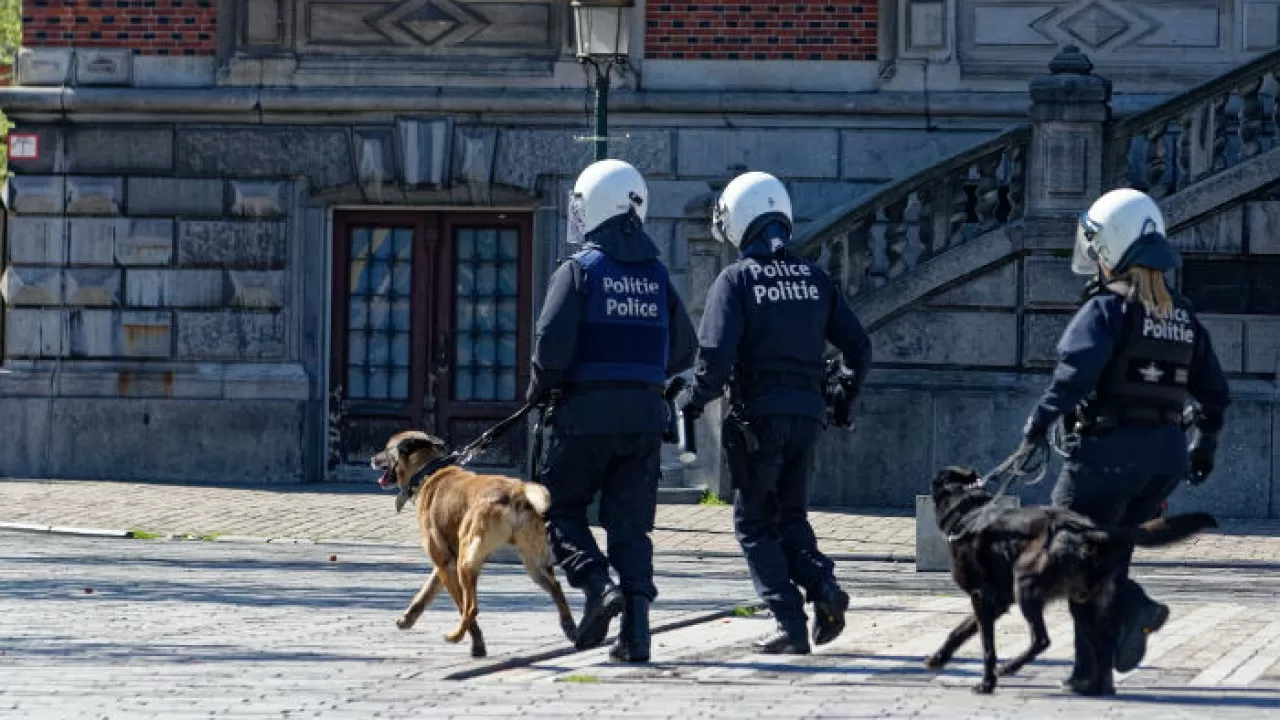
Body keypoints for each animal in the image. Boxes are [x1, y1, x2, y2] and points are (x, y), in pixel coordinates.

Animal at [373, 427, 578, 653]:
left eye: (386, 448)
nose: (372, 459)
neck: (428, 471)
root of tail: (517, 492)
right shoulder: (444, 563)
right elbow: (425, 593)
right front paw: (407, 618)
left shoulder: (446, 564)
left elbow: (459, 605)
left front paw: (477, 643)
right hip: (533, 562)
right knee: (556, 587)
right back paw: (569, 625)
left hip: (466, 562)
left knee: (471, 607)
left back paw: (455, 636)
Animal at [926, 461, 1213, 691]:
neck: (968, 510)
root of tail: (1092, 530)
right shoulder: (996, 601)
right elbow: (960, 630)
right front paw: (939, 657)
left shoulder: (982, 596)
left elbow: (987, 646)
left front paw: (986, 683)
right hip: (1083, 602)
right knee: (1103, 645)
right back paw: (1094, 688)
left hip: (1026, 586)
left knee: (1042, 639)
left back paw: (1010, 668)